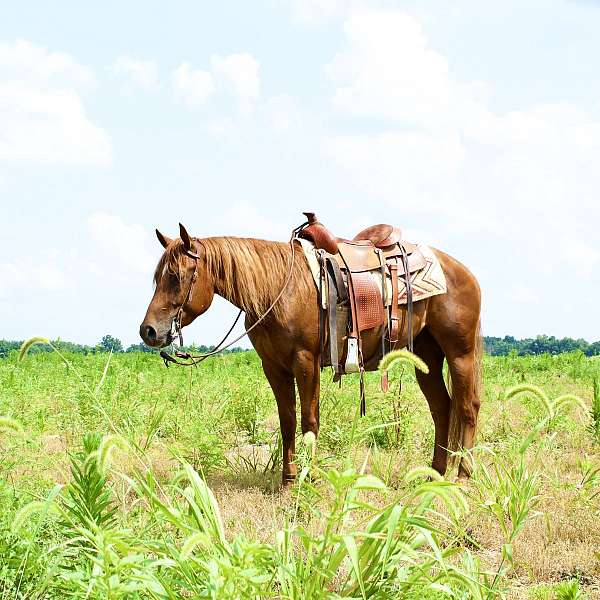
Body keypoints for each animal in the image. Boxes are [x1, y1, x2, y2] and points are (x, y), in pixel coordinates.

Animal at [139, 220, 482, 482]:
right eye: (157, 277)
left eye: (176, 277)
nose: (148, 331)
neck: (278, 289)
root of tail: (465, 272)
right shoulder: (273, 366)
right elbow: (288, 421)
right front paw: (288, 478)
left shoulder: (307, 361)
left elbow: (309, 421)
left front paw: (308, 477)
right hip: (426, 356)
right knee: (442, 408)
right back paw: (434, 475)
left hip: (460, 354)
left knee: (467, 408)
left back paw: (463, 476)